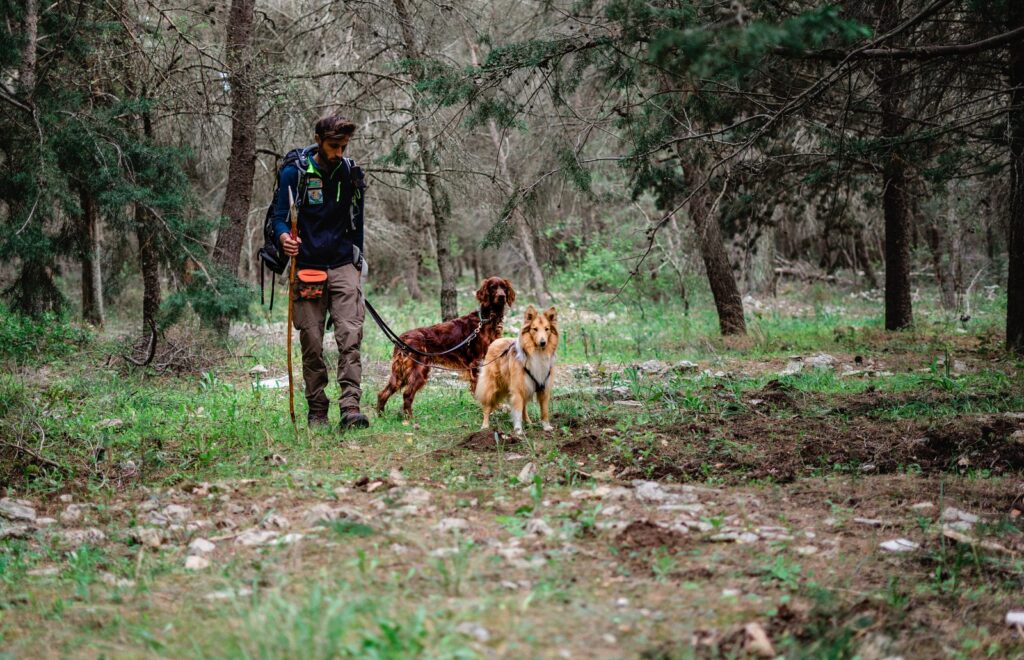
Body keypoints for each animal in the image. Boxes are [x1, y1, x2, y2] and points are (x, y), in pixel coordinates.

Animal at [376, 278, 516, 417]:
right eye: (493, 287)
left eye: (503, 287)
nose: (502, 296)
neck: (487, 320)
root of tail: (403, 338)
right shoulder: (476, 363)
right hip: (419, 369)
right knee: (407, 394)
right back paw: (409, 419)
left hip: (401, 373)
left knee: (384, 392)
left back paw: (381, 415)